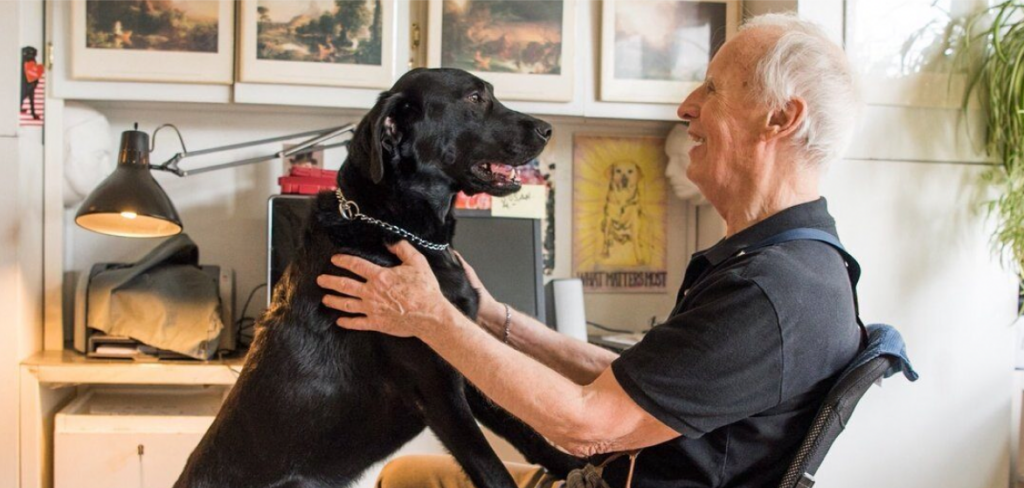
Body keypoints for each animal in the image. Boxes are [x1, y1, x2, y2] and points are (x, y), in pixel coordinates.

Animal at [172, 69, 581, 486]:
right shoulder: (435, 386)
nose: (547, 129)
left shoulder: (467, 363)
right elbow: (491, 465)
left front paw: (572, 464)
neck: (397, 228)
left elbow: (523, 429)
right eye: (475, 97)